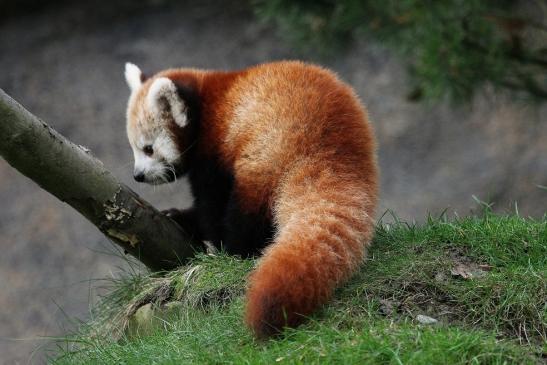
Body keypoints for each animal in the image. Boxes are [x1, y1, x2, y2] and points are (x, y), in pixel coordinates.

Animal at [123, 61, 378, 336]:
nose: (138, 175)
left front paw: (201, 233)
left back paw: (237, 250)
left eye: (148, 149)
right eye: (134, 148)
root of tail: (328, 150)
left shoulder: (214, 150)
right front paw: (178, 216)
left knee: (246, 214)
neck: (205, 101)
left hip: (266, 152)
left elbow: (211, 205)